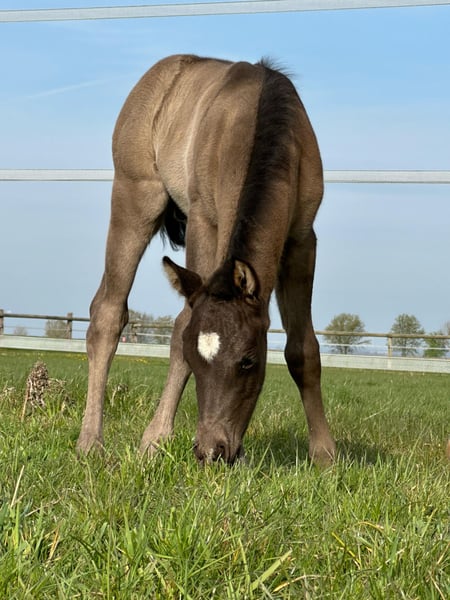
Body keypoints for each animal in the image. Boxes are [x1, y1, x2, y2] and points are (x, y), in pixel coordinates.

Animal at [77, 54, 336, 466]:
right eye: (195, 357)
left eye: (248, 360)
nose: (212, 451)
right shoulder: (203, 221)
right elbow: (183, 322)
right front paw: (154, 440)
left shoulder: (301, 238)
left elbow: (303, 348)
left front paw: (324, 454)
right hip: (136, 196)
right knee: (107, 312)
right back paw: (90, 442)